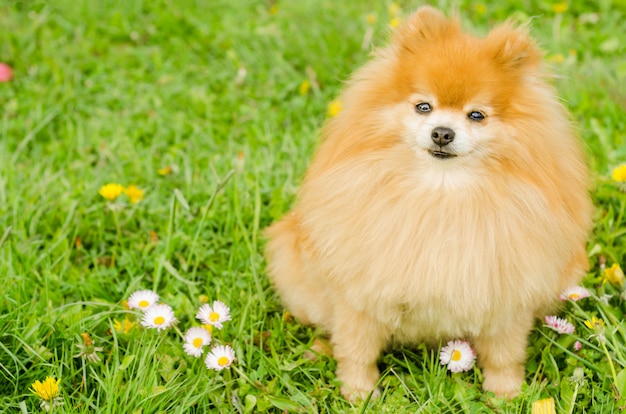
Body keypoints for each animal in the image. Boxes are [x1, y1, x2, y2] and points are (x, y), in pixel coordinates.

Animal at [262, 6, 588, 402]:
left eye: (476, 115)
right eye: (423, 106)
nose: (442, 132)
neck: (440, 192)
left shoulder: (505, 298)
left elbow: (504, 355)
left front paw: (505, 394)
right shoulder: (360, 293)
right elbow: (356, 349)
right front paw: (358, 393)